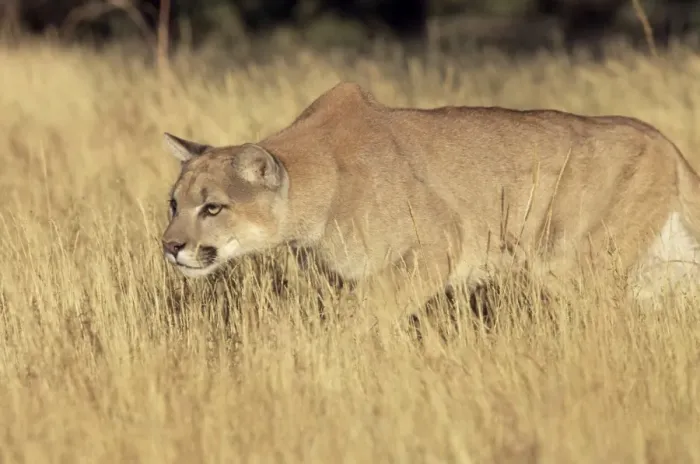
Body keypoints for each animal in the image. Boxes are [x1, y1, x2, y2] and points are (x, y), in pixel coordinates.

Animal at [160, 81, 700, 335]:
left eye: (213, 208)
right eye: (174, 204)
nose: (169, 246)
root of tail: (664, 140)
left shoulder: (437, 245)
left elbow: (363, 310)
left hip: (569, 261)